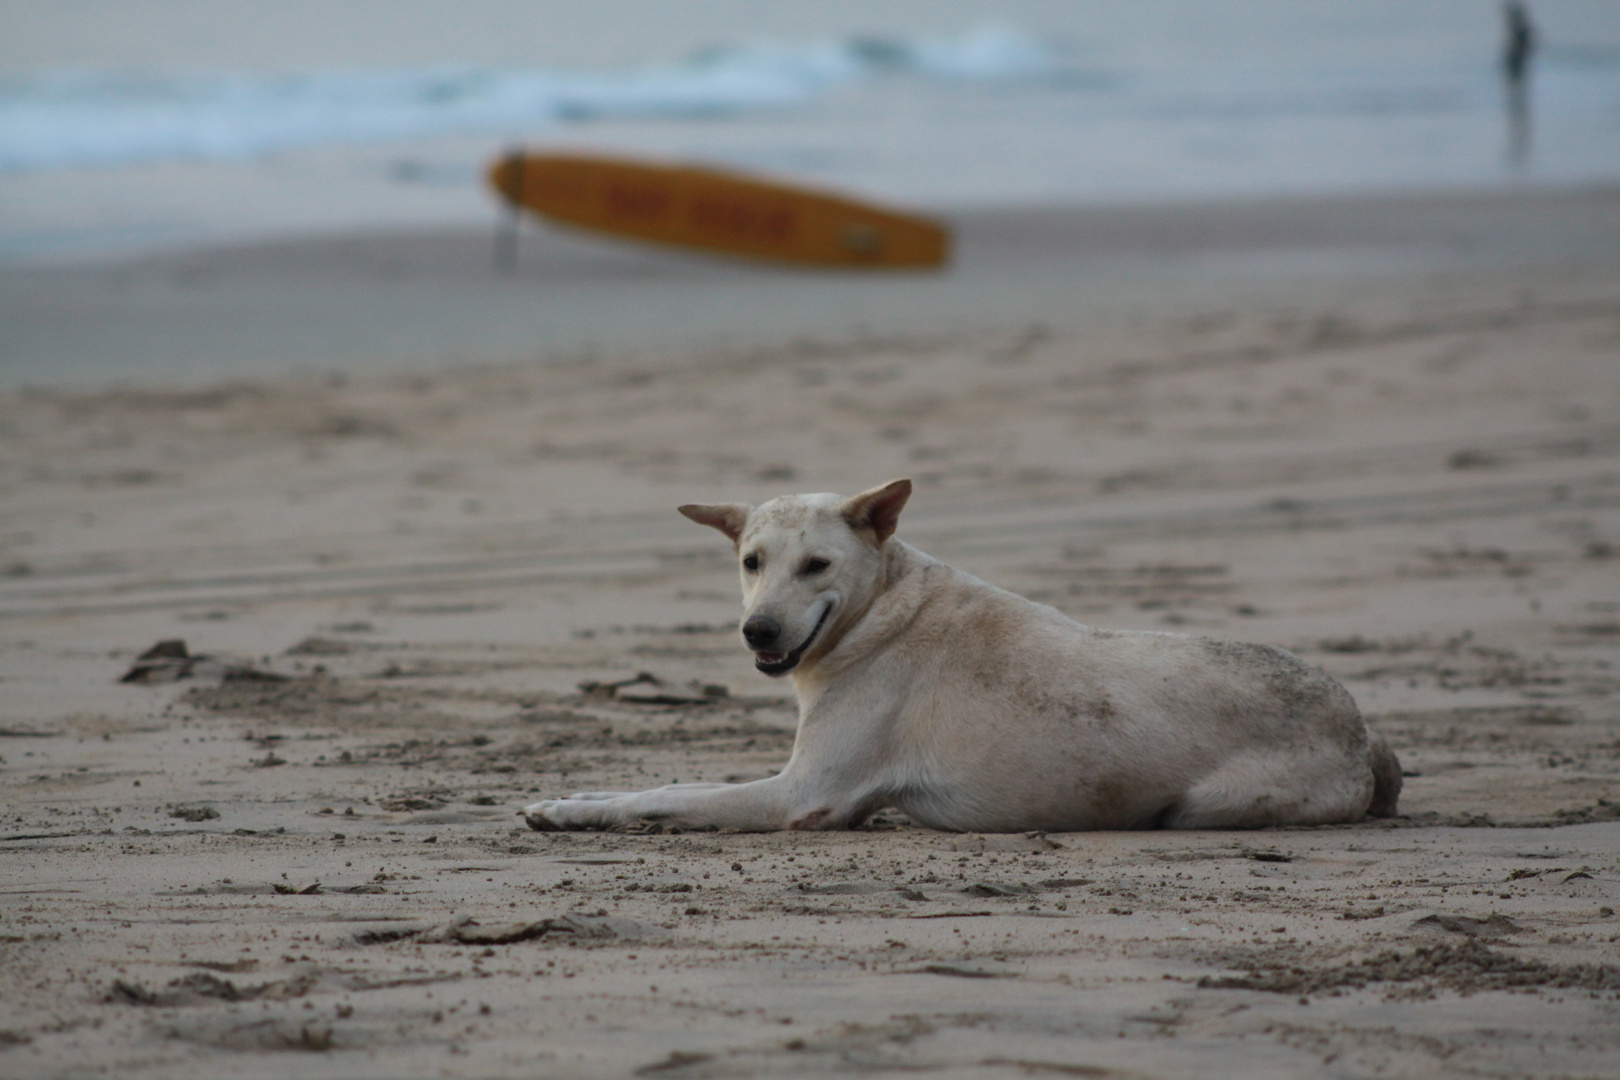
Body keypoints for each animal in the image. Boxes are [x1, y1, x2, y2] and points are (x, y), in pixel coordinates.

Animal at [524, 482, 1399, 835]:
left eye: (816, 566)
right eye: (750, 561)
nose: (759, 632)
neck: (881, 612)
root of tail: (1365, 730)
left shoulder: (801, 797)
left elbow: (662, 799)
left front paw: (575, 814)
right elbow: (664, 784)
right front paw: (567, 796)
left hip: (1209, 804)